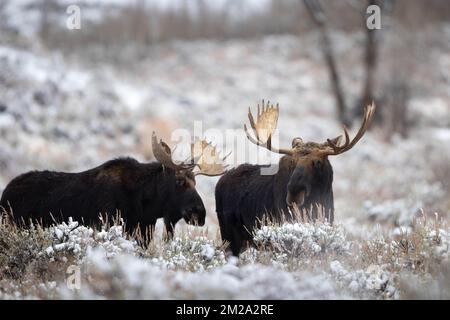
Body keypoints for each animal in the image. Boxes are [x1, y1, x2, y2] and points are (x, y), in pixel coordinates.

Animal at [216, 101, 374, 256]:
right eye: (293, 161)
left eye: (318, 162)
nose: (294, 193)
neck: (317, 200)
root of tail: (219, 182)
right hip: (230, 237)